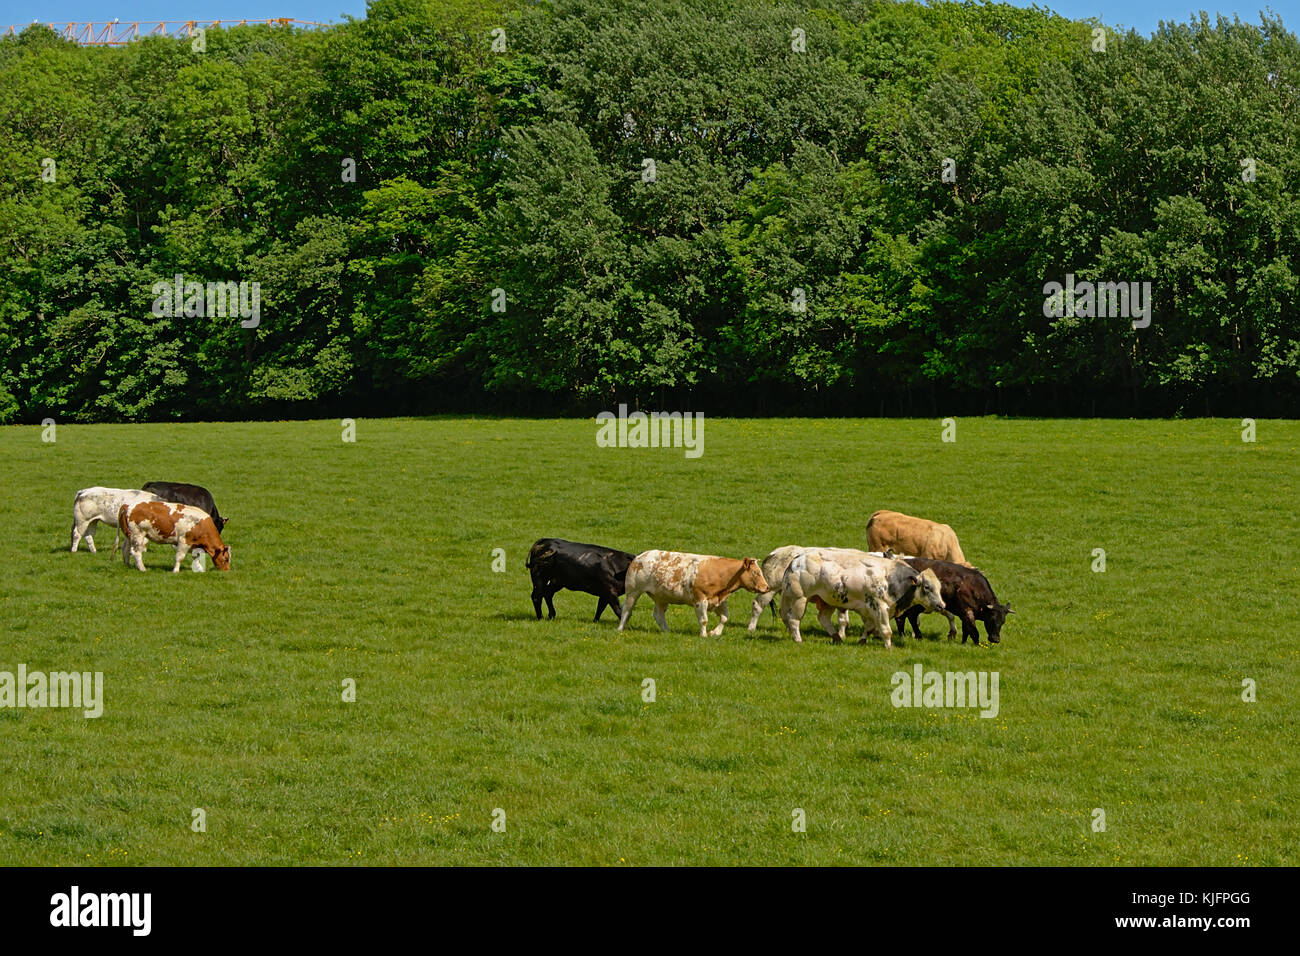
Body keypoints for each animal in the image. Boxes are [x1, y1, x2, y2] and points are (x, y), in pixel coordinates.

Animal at [618, 550, 770, 638]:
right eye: (756, 573)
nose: (767, 587)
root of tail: (640, 556)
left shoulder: (719, 600)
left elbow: (725, 618)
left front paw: (715, 632)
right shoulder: (700, 599)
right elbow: (704, 620)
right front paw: (703, 635)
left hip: (661, 596)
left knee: (658, 614)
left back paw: (667, 631)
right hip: (633, 591)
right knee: (627, 610)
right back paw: (620, 628)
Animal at [778, 549, 944, 648]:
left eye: (939, 587)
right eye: (927, 587)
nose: (942, 605)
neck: (891, 578)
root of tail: (796, 560)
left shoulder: (869, 610)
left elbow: (870, 628)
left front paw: (862, 640)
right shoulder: (879, 607)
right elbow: (886, 630)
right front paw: (889, 647)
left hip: (826, 600)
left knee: (823, 618)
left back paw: (837, 637)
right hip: (799, 599)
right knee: (794, 620)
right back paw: (798, 639)